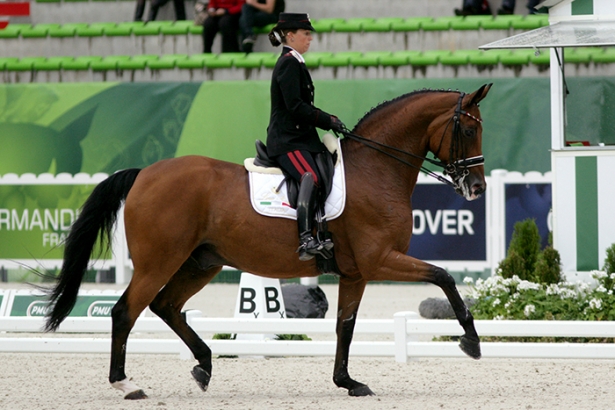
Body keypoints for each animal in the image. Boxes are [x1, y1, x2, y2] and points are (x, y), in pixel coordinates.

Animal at [45, 81, 494, 398]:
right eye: (468, 128)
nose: (476, 188)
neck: (376, 170)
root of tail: (144, 173)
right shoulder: (379, 259)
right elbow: (443, 276)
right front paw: (470, 341)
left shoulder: (356, 273)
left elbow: (345, 327)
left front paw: (347, 381)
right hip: (159, 262)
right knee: (126, 311)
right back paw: (127, 384)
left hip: (202, 263)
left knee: (166, 306)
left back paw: (204, 364)